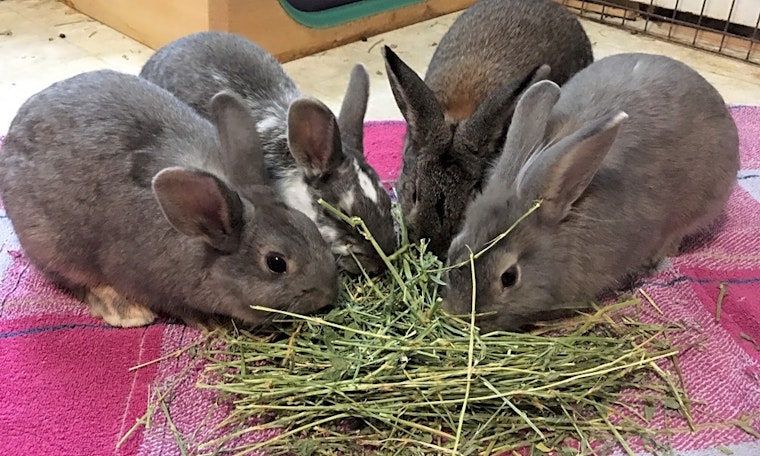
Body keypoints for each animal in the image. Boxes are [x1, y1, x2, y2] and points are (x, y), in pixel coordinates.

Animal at [0, 69, 339, 329]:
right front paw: (212, 324)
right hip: (51, 247)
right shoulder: (152, 285)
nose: (329, 293)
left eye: (309, 225)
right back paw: (128, 312)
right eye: (276, 263)